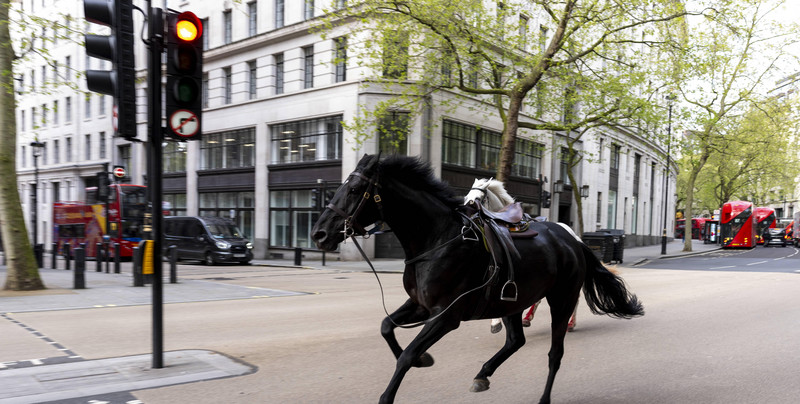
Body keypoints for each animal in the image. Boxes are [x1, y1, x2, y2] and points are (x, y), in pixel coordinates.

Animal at [312, 155, 644, 404]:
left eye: (355, 189)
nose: (319, 234)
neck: (437, 239)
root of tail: (572, 239)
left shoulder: (446, 316)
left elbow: (405, 355)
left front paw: (396, 385)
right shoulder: (420, 305)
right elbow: (386, 328)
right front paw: (424, 359)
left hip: (561, 299)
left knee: (555, 354)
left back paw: (542, 396)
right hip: (513, 301)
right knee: (515, 340)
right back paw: (483, 375)